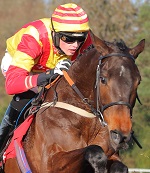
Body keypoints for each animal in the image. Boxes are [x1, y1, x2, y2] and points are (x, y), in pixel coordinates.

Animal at [3, 34, 145, 173]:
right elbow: (96, 152)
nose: (121, 135)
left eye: (138, 82)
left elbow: (120, 167)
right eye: (103, 79)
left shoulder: (112, 154)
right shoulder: (49, 163)